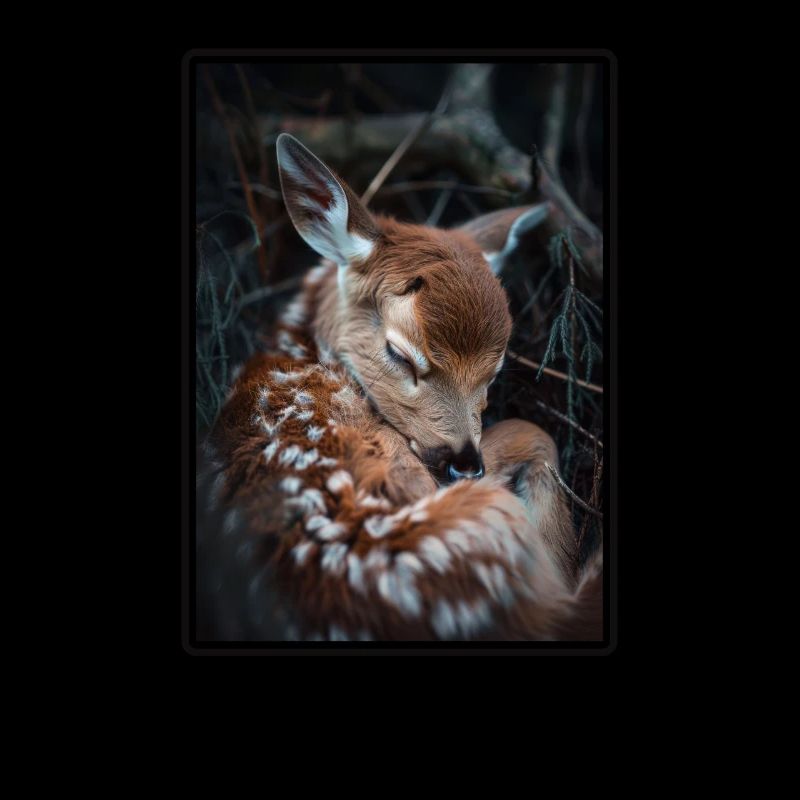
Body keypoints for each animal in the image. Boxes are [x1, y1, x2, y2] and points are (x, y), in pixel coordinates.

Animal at [198, 133, 603, 642]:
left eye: (495, 371)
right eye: (400, 354)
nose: (464, 463)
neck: (301, 349)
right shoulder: (407, 465)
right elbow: (532, 431)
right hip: (482, 519)